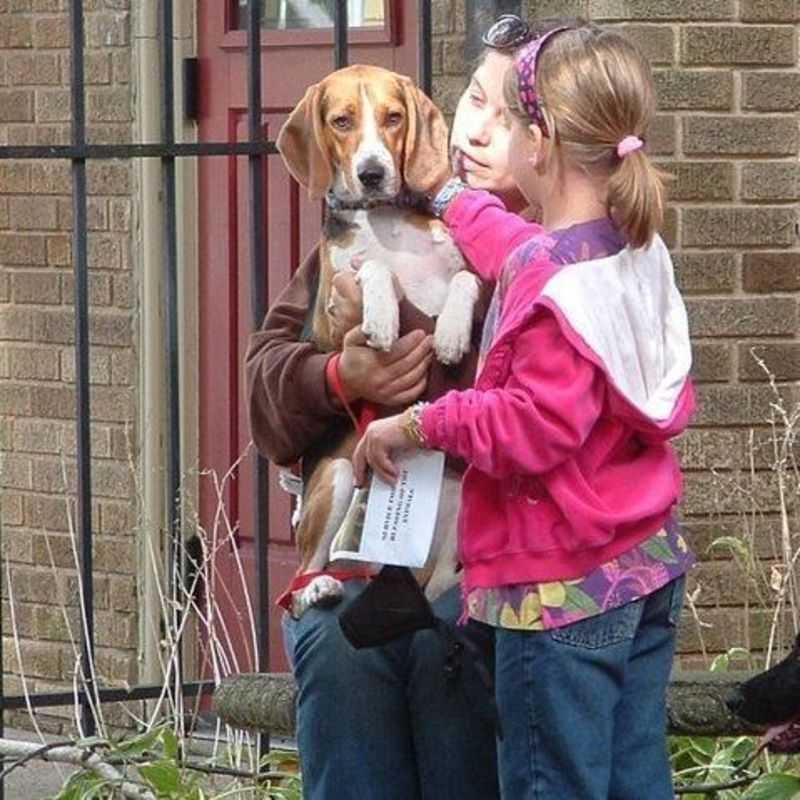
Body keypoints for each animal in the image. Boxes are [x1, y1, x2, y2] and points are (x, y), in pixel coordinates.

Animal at [276, 67, 478, 620]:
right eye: (341, 121)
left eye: (393, 117)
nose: (371, 173)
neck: (385, 218)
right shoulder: (331, 316)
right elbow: (372, 268)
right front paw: (384, 317)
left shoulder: (465, 272)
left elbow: (464, 281)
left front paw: (451, 331)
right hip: (340, 474)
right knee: (298, 584)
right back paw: (319, 588)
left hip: (457, 495)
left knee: (437, 585)